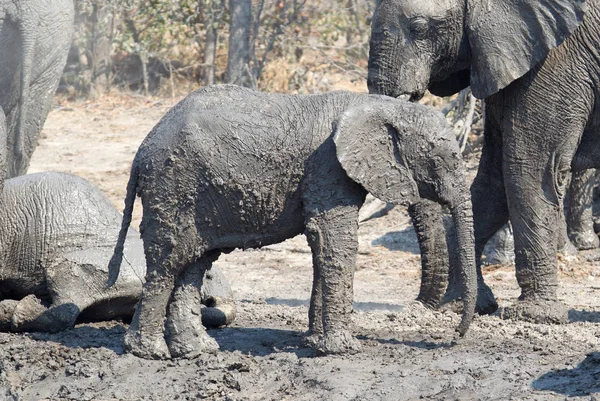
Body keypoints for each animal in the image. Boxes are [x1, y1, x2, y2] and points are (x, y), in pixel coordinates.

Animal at [105, 84, 476, 360]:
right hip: (173, 184)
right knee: (168, 262)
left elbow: (322, 245)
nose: (456, 337)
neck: (374, 105)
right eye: (441, 159)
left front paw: (313, 343)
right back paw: (149, 353)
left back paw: (198, 351)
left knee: (194, 263)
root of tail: (142, 150)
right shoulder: (327, 166)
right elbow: (336, 239)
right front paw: (342, 349)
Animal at [368, 0, 596, 322]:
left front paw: (535, 315)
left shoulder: (559, 61)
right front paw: (462, 305)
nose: (416, 306)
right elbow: (493, 181)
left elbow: (528, 170)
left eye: (420, 29)